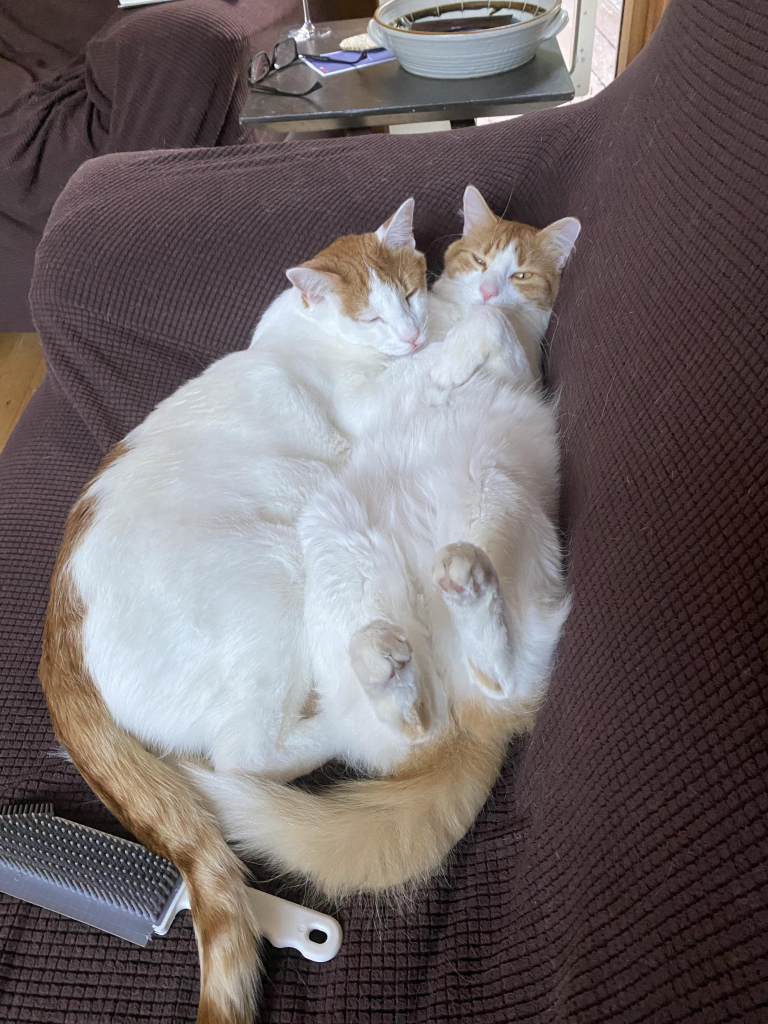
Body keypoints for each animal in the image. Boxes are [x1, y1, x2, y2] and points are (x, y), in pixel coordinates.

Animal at [41, 188, 581, 1024]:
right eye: (373, 316)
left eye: (411, 290)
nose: (411, 333)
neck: (300, 336)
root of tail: (54, 645)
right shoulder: (372, 399)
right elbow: (461, 350)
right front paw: (472, 337)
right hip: (279, 579)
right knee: (255, 750)